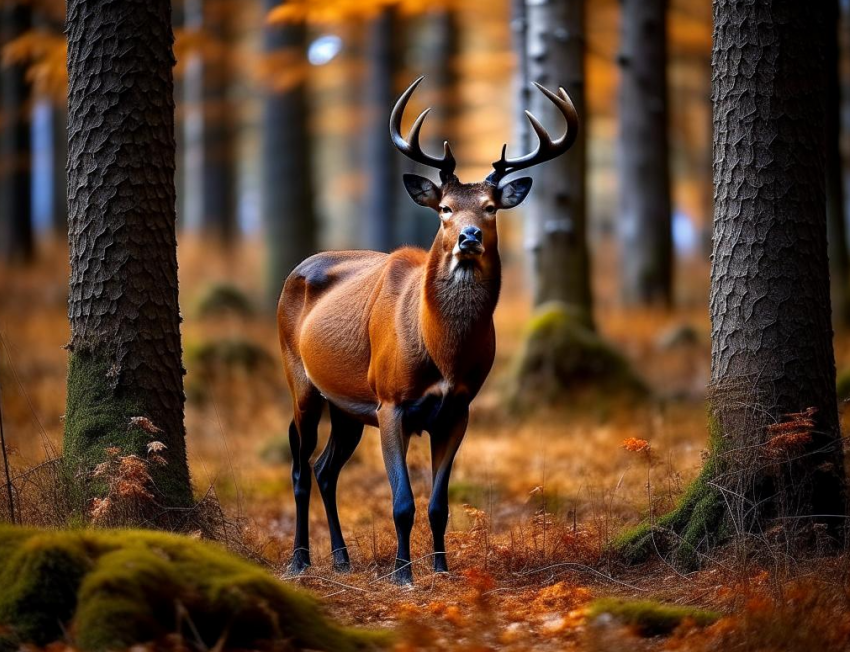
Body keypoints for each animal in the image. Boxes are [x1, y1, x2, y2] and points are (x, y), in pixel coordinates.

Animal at [276, 77, 576, 584]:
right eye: (445, 209)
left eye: (491, 208)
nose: (469, 237)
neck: (442, 352)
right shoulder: (391, 400)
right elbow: (402, 501)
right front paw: (403, 572)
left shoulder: (458, 407)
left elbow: (438, 504)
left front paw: (441, 567)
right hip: (299, 376)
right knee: (300, 467)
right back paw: (299, 560)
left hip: (347, 403)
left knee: (324, 469)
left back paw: (341, 557)